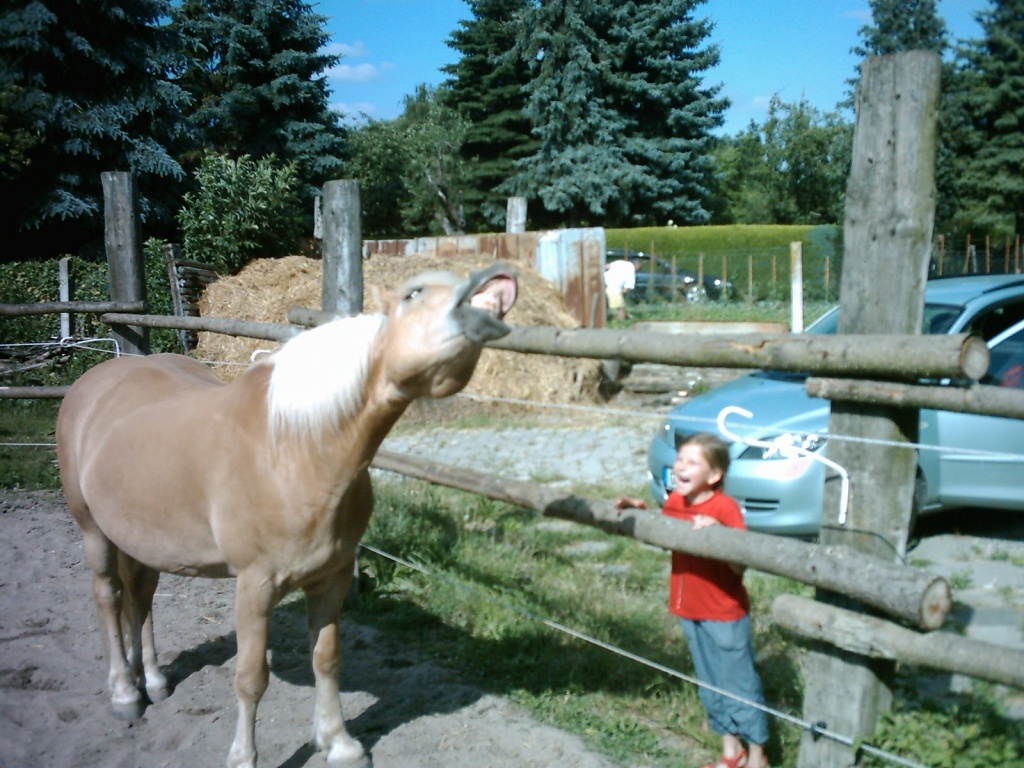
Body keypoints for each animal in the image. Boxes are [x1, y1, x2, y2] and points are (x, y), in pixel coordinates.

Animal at [56, 262, 518, 768]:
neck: (295, 450)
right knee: (109, 596)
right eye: (414, 293)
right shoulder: (255, 586)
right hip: (93, 530)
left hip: (142, 541)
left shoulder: (332, 577)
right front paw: (243, 757)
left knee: (140, 599)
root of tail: (97, 378)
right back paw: (124, 693)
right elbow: (250, 679)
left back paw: (152, 681)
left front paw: (339, 743)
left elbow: (326, 660)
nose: (497, 284)